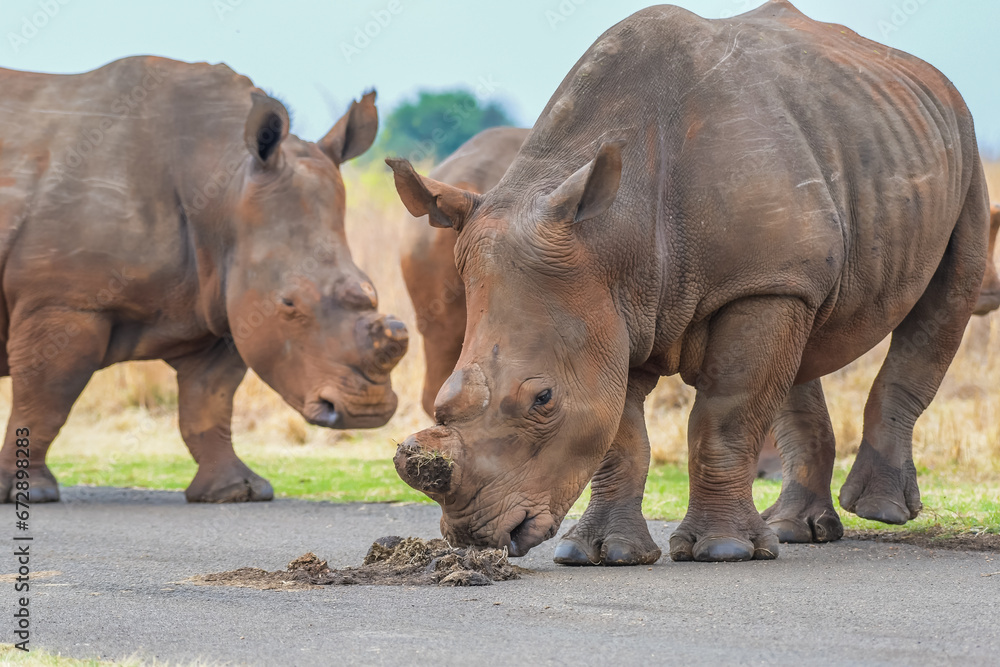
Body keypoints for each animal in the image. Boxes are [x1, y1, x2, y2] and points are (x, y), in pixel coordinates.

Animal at [0, 56, 408, 503]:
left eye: (370, 287)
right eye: (289, 303)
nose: (366, 411)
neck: (222, 187)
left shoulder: (223, 305)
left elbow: (209, 402)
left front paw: (237, 491)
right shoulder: (64, 302)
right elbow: (45, 398)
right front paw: (30, 493)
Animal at [387, 1, 989, 563]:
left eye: (543, 398)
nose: (472, 536)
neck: (613, 234)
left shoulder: (752, 283)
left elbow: (725, 416)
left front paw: (723, 550)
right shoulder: (612, 305)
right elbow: (620, 434)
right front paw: (602, 554)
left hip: (960, 141)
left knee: (946, 296)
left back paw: (879, 512)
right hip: (836, 178)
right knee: (804, 336)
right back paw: (796, 531)